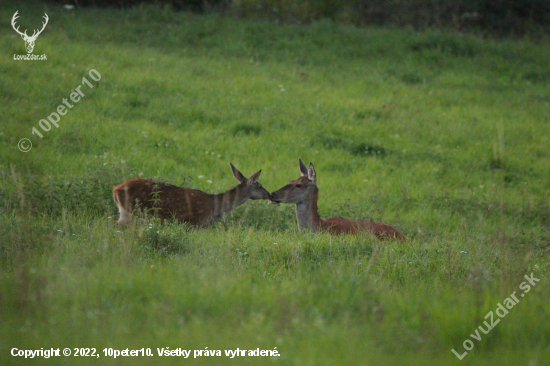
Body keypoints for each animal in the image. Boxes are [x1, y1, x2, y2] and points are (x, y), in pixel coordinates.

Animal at [113, 164, 272, 227]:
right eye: (260, 186)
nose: (269, 194)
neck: (214, 207)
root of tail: (115, 190)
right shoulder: (195, 222)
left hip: (124, 212)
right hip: (136, 211)